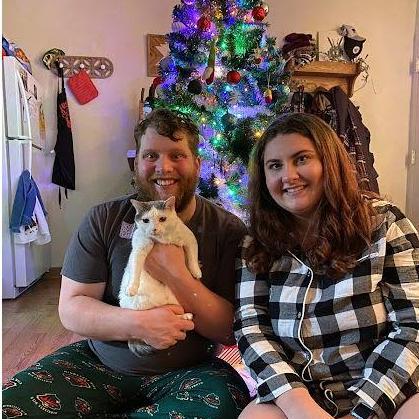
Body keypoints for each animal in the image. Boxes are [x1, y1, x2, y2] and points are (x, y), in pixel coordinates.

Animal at [119, 197, 203, 358]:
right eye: (146, 220)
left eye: (162, 219)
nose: (154, 229)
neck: (162, 239)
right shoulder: (139, 248)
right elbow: (135, 268)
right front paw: (132, 287)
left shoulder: (190, 239)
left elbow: (192, 256)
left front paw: (196, 271)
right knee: (168, 316)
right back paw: (185, 316)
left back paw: (186, 316)